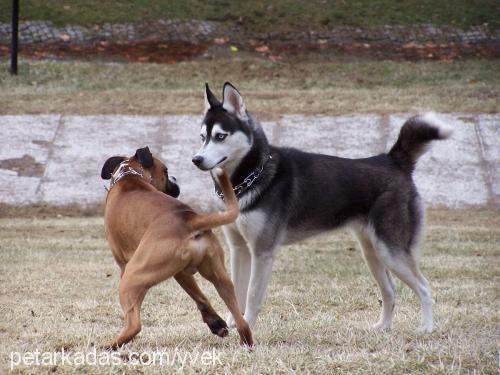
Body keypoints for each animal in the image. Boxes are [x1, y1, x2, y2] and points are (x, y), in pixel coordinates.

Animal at [100, 147, 254, 350]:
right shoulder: (181, 273)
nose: (174, 178)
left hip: (132, 277)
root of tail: (190, 219)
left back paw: (110, 345)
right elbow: (200, 297)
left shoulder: (124, 265)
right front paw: (216, 324)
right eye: (166, 171)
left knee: (134, 325)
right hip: (220, 277)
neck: (129, 175)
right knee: (241, 320)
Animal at [191, 82, 450, 332]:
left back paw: (426, 328)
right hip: (372, 252)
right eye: (202, 137)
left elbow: (253, 295)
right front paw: (234, 324)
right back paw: (383, 327)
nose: (196, 160)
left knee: (424, 287)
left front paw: (249, 328)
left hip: (390, 251)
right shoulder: (239, 248)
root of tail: (392, 160)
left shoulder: (262, 252)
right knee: (390, 292)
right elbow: (235, 291)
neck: (251, 176)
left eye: (220, 136)